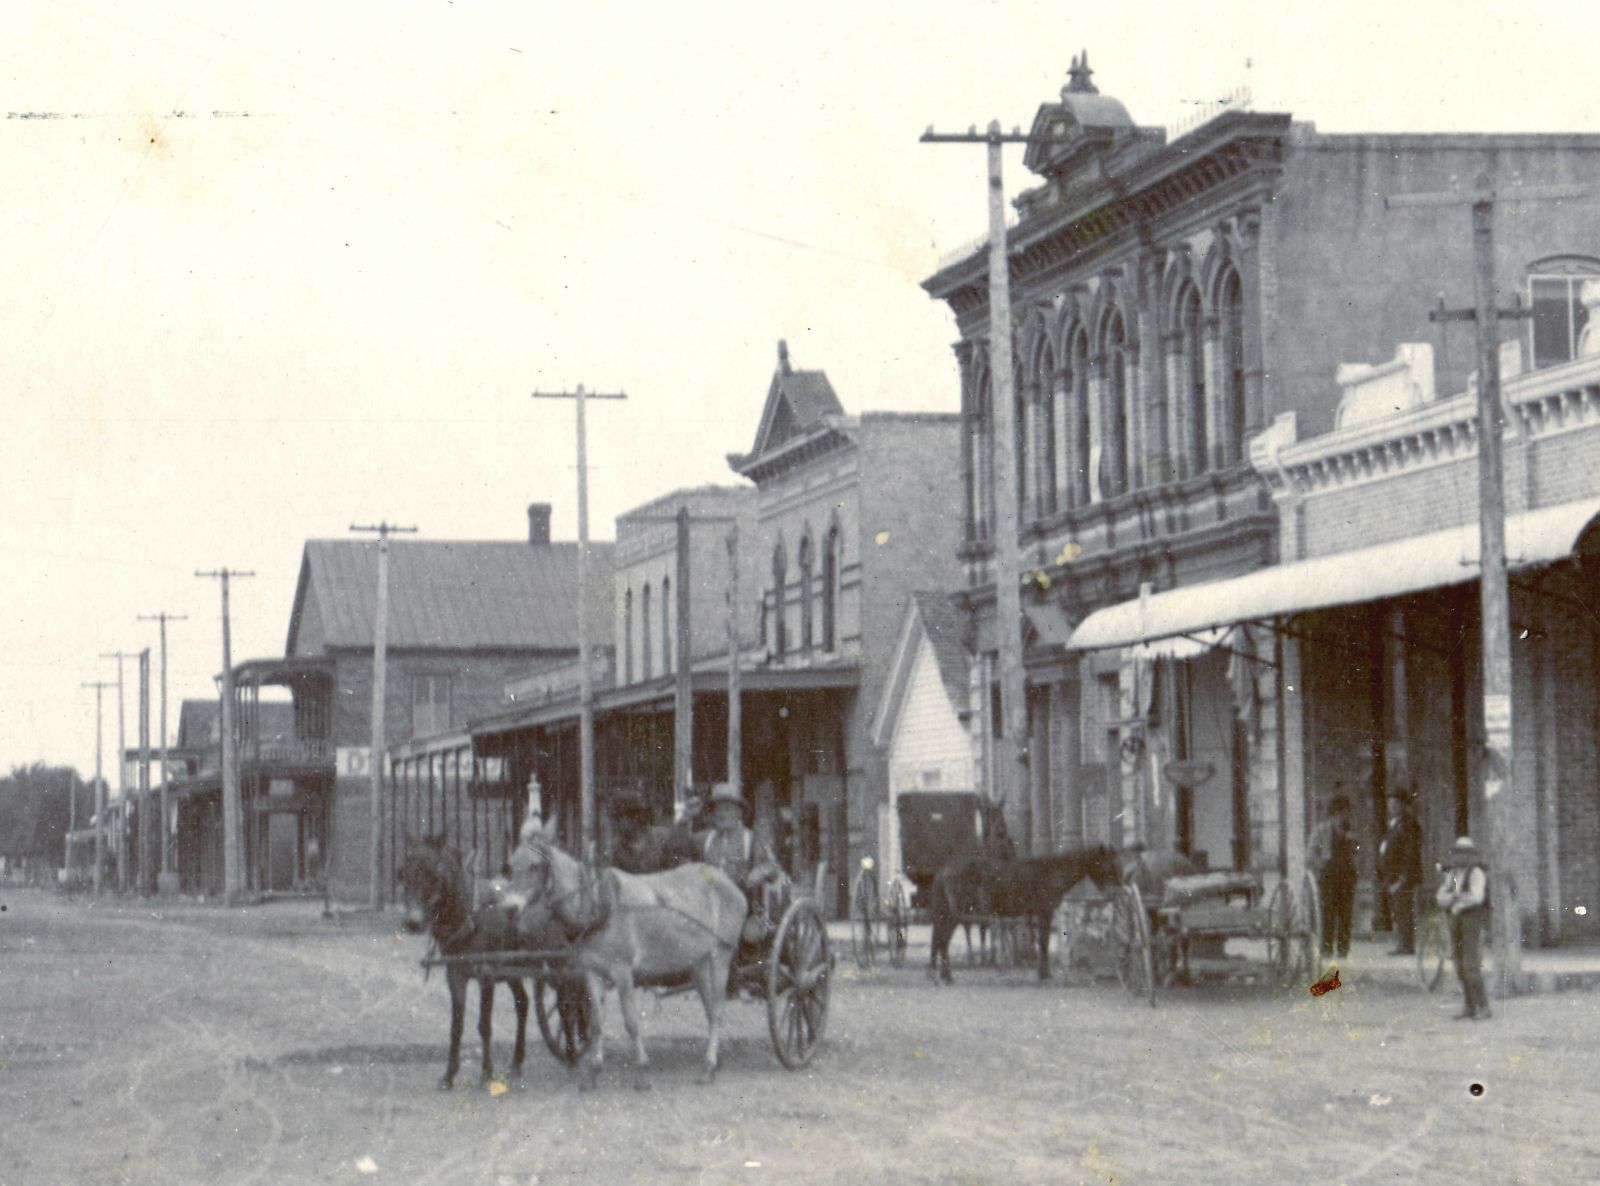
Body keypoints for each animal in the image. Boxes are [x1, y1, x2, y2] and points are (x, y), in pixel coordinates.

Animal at [928, 845, 1126, 985]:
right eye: (1106, 863)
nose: (1115, 889)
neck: (1051, 872)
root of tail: (945, 868)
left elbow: (1042, 942)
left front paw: (1044, 974)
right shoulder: (1044, 913)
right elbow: (1044, 943)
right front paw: (1044, 975)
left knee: (940, 940)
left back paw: (943, 976)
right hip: (955, 914)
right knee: (943, 940)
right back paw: (946, 977)